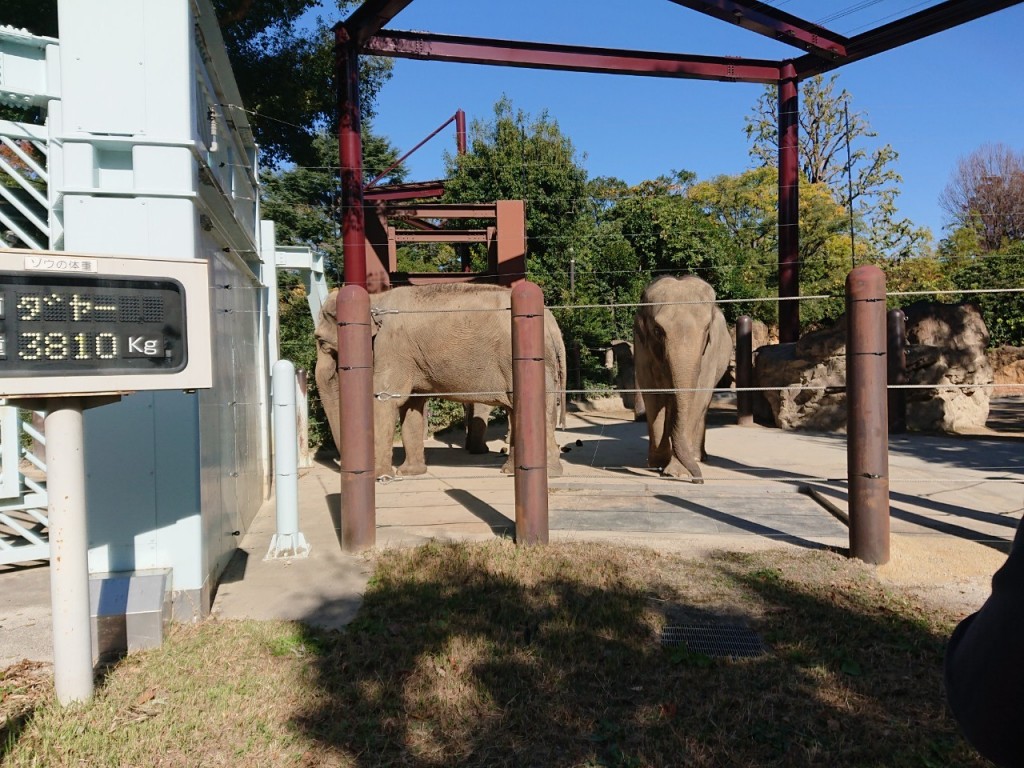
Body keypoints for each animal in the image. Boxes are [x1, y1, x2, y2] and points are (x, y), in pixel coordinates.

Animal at [313, 282, 569, 479]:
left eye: (322, 343)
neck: (376, 298)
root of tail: (553, 324)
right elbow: (411, 406)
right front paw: (409, 473)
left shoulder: (392, 348)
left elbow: (384, 401)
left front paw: (381, 477)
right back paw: (512, 471)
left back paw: (547, 474)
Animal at [630, 274, 737, 481]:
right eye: (657, 330)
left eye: (707, 329)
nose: (699, 480)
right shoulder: (642, 347)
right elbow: (652, 394)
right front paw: (657, 463)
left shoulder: (710, 352)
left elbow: (697, 396)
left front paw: (677, 472)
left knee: (702, 406)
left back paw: (696, 456)